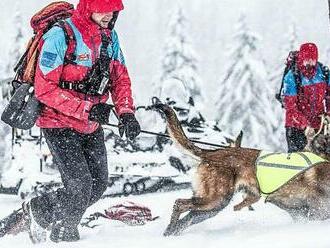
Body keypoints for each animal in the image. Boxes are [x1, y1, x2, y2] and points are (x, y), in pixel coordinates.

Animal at [156, 103, 330, 235]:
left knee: (188, 218)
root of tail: (212, 153)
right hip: (216, 199)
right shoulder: (317, 212)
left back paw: (170, 233)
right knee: (179, 203)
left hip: (212, 207)